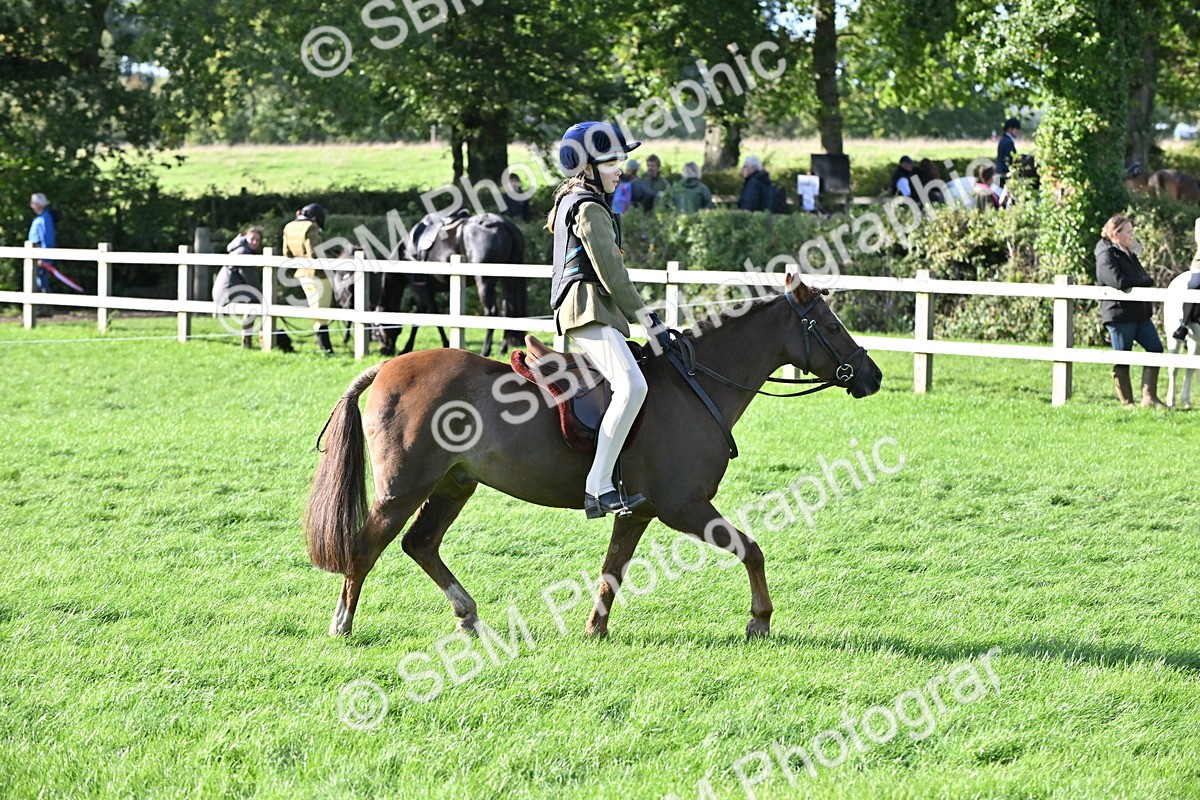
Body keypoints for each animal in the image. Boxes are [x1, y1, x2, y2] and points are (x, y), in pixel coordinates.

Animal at [304, 277, 883, 640]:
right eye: (832, 327)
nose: (872, 375)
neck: (693, 386)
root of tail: (385, 370)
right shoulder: (685, 507)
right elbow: (752, 550)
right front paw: (760, 620)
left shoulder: (640, 511)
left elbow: (613, 569)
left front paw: (595, 628)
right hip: (403, 490)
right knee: (365, 549)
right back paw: (343, 624)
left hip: (454, 484)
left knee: (420, 544)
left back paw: (468, 616)